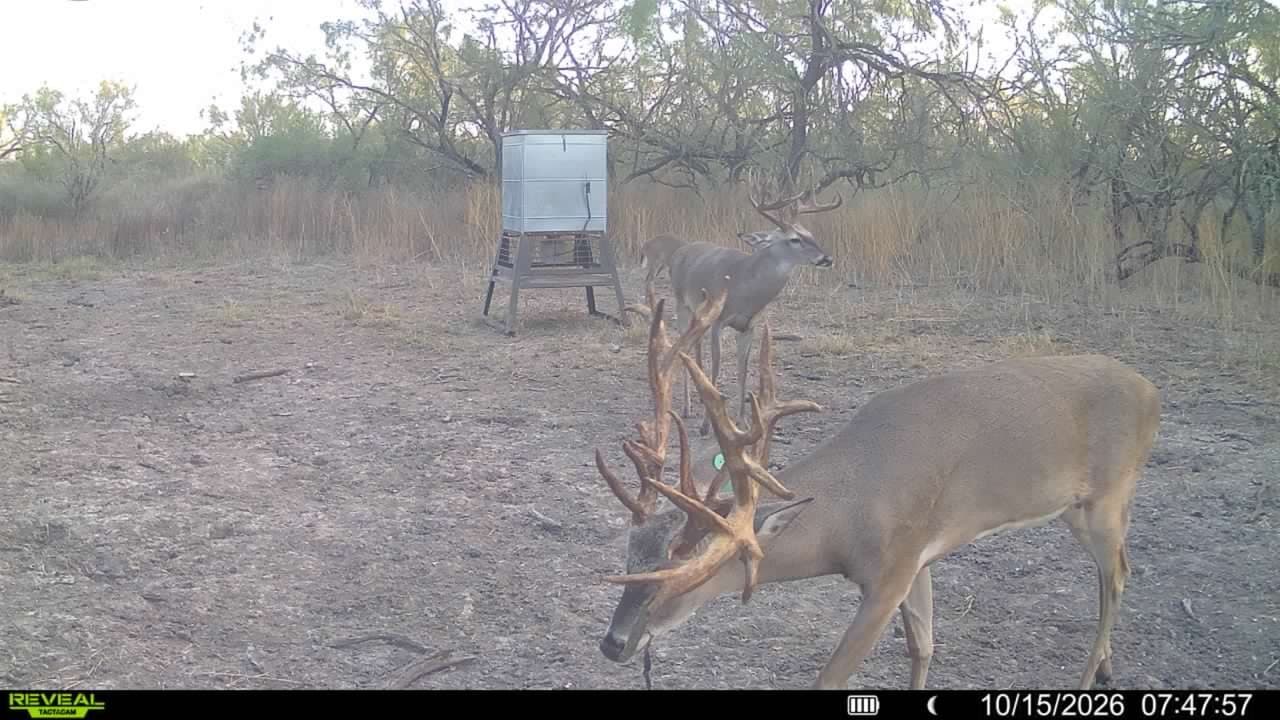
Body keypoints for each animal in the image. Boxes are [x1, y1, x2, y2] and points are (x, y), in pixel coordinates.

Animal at [591, 288, 1162, 690]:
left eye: (682, 579)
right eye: (629, 559)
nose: (613, 644)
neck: (851, 509)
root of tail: (1151, 390)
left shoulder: (890, 572)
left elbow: (831, 677)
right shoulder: (920, 559)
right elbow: (924, 646)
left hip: (1106, 497)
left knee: (1116, 575)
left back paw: (1088, 678)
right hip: (1083, 507)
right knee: (1120, 569)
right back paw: (1107, 668)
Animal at [666, 181, 842, 437]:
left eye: (811, 234)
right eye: (794, 239)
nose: (826, 258)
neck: (744, 287)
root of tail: (680, 251)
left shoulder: (749, 326)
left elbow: (743, 370)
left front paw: (742, 421)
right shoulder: (719, 321)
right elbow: (717, 366)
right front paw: (706, 425)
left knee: (695, 347)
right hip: (681, 303)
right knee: (684, 347)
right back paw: (688, 408)